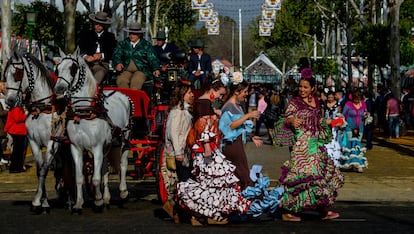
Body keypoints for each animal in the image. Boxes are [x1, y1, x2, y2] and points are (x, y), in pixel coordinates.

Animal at [3, 51, 63, 212]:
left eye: (17, 74)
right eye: (5, 75)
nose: (9, 102)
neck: (41, 109)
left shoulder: (52, 143)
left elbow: (44, 169)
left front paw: (37, 201)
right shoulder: (34, 142)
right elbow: (39, 170)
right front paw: (44, 201)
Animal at [53, 48, 131, 212]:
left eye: (73, 68)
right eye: (57, 68)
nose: (59, 89)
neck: (84, 112)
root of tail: (121, 94)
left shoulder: (96, 147)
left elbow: (95, 178)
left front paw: (98, 200)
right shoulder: (76, 147)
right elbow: (79, 177)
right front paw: (79, 203)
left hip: (125, 138)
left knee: (123, 164)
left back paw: (123, 192)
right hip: (109, 145)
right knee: (105, 167)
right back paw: (107, 198)